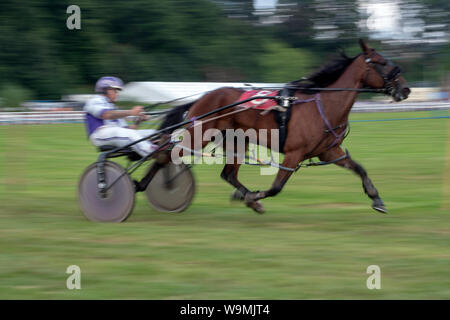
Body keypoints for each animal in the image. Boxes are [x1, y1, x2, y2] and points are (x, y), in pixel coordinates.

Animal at [160, 40, 410, 215]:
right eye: (382, 62)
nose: (405, 89)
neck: (323, 105)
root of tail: (205, 96)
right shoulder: (293, 154)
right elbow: (276, 187)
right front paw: (253, 198)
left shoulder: (330, 151)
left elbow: (360, 169)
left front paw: (377, 199)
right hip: (199, 134)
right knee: (169, 155)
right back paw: (160, 185)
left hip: (237, 141)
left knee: (228, 174)